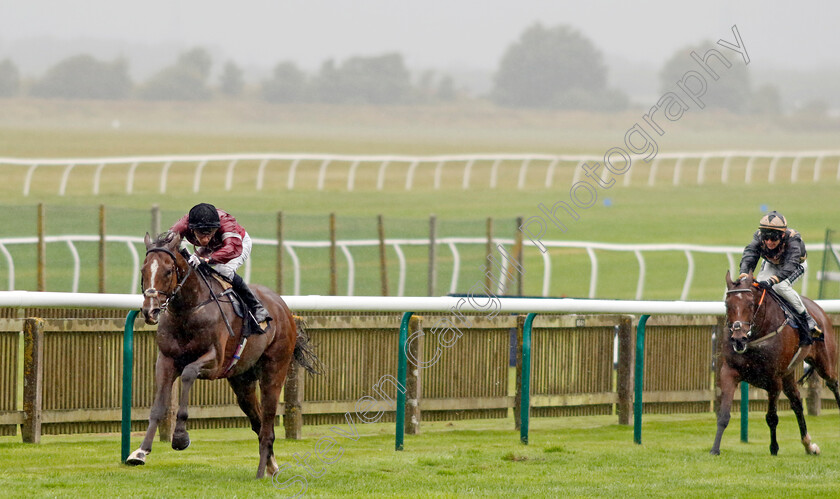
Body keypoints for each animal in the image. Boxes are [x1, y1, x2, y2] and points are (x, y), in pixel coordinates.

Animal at [126, 232, 320, 478]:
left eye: (168, 271)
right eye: (143, 271)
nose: (150, 311)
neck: (188, 310)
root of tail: (284, 308)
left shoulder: (214, 362)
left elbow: (188, 373)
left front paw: (180, 437)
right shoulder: (166, 361)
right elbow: (158, 406)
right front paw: (140, 452)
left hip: (274, 370)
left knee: (267, 422)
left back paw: (261, 472)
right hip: (242, 381)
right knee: (258, 422)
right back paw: (271, 466)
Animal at [712, 274, 840, 458]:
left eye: (750, 303)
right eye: (727, 304)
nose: (738, 339)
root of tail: (818, 308)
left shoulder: (773, 381)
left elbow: (772, 417)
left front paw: (774, 448)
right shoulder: (729, 372)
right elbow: (723, 415)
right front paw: (715, 449)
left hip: (825, 365)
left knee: (833, 384)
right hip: (788, 374)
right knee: (797, 402)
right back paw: (809, 445)